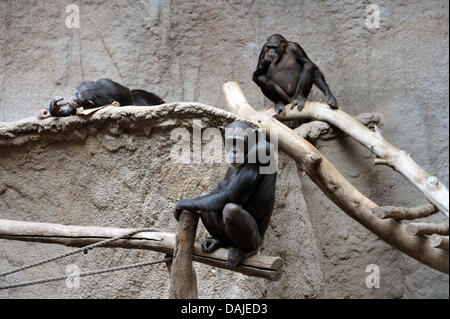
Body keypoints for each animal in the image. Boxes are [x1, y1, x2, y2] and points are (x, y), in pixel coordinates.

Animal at [173, 121, 276, 268]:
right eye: (229, 142)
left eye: (240, 143)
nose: (234, 151)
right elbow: (220, 187)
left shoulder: (259, 154)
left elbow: (231, 194)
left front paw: (182, 203)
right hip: (227, 238)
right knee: (206, 202)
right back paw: (217, 241)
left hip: (256, 240)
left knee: (231, 210)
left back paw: (246, 250)